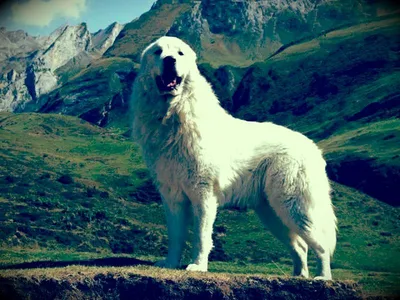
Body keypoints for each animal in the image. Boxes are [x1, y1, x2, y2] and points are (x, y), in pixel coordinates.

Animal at [131, 36, 338, 280]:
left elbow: (201, 236)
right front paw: (170, 263)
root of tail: (312, 147)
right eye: (158, 52)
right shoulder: (172, 195)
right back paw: (298, 275)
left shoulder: (203, 193)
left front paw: (198, 266)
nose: (170, 60)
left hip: (293, 206)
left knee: (321, 245)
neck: (173, 115)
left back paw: (322, 277)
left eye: (180, 53)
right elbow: (175, 235)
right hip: (272, 213)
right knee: (300, 247)